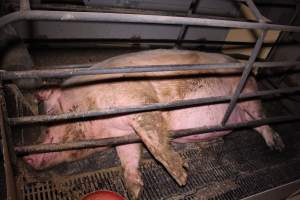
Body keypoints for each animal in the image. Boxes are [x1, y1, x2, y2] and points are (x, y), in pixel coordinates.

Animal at [22, 49, 284, 199]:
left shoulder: (138, 101)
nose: (26, 157)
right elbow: (129, 157)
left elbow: (154, 140)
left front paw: (181, 177)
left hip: (247, 93)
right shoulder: (123, 135)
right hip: (242, 113)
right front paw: (134, 191)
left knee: (262, 118)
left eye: (48, 118)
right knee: (255, 123)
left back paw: (277, 146)